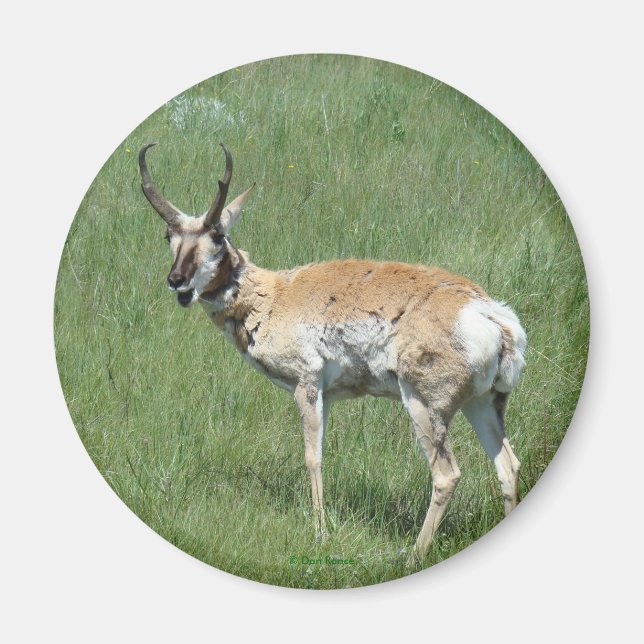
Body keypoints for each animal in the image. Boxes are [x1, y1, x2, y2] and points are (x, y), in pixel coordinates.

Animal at [139, 142, 527, 564]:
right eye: (169, 235)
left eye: (217, 235)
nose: (176, 280)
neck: (275, 295)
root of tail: (489, 313)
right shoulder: (328, 395)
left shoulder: (306, 385)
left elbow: (313, 456)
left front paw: (321, 534)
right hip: (482, 404)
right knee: (508, 466)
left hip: (425, 404)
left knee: (446, 475)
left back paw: (412, 555)